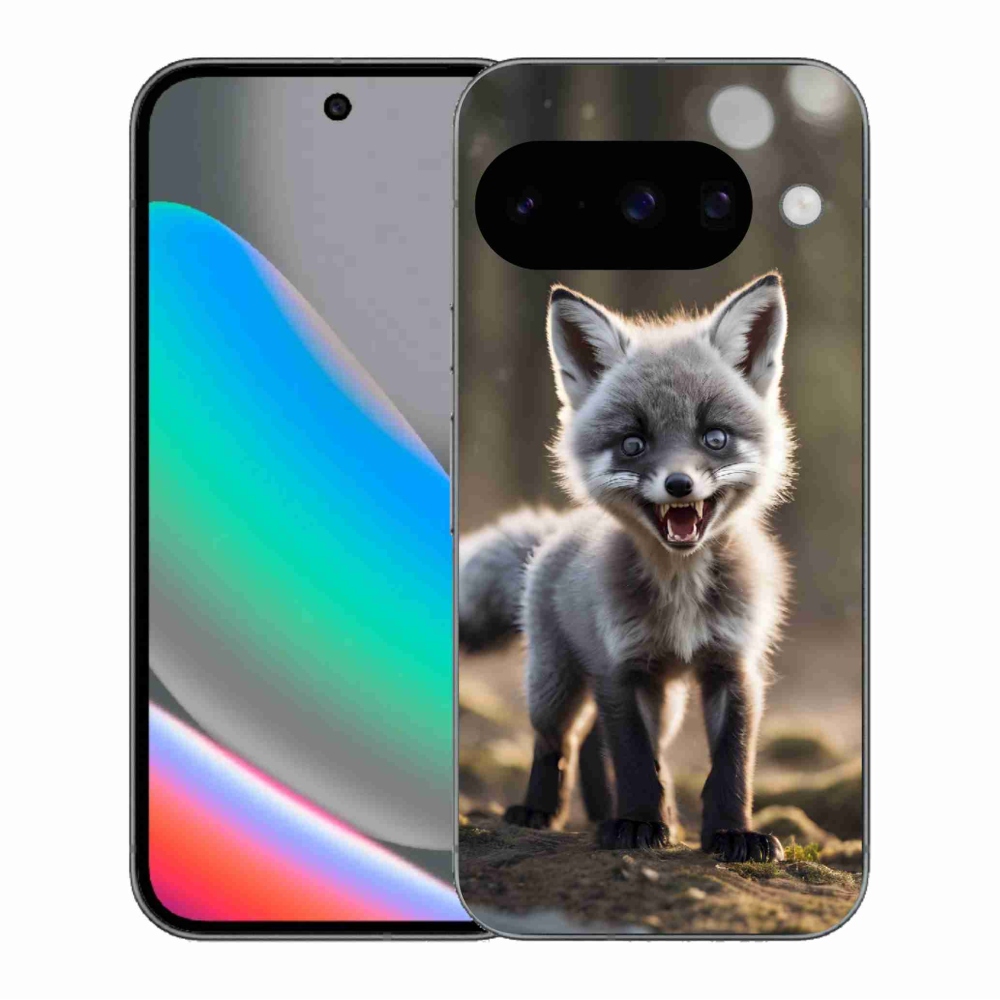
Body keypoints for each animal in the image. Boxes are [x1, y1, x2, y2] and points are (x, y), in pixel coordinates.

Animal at [459, 274, 794, 862]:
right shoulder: (621, 666)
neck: (681, 592)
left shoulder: (733, 667)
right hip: (556, 683)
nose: (679, 484)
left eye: (715, 437)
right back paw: (541, 811)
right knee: (559, 740)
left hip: (665, 699)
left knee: (596, 740)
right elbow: (637, 762)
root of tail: (556, 532)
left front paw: (732, 834)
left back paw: (607, 814)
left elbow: (731, 766)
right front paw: (638, 823)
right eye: (633, 444)